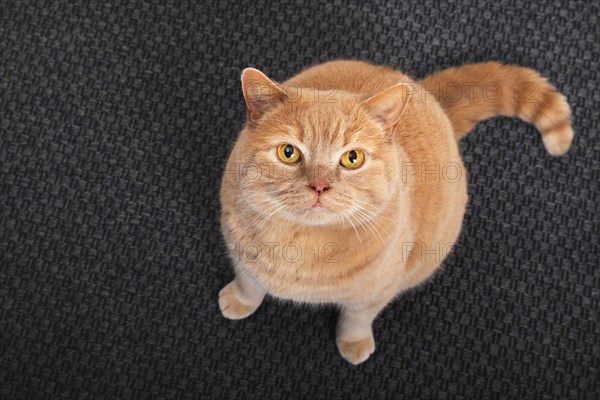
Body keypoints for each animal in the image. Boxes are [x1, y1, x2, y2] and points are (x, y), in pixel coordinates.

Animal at [218, 60, 576, 366]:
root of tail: (423, 90)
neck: (303, 246)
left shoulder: (377, 291)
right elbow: (249, 285)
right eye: (288, 153)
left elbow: (356, 319)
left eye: (352, 158)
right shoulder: (241, 257)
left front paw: (354, 344)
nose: (319, 186)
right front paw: (239, 301)